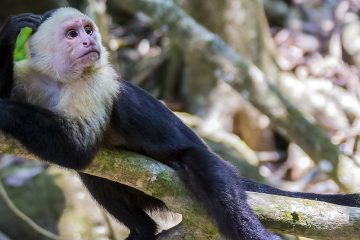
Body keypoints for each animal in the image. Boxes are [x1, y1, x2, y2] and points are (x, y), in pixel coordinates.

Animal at [0, 7, 358, 240]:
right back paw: (143, 232)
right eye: (72, 34)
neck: (62, 80)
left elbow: (78, 150)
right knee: (95, 177)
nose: (89, 42)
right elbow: (79, 156)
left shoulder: (95, 82)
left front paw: (5, 110)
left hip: (209, 164)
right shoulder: (32, 76)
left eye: (88, 30)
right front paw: (9, 33)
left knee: (207, 172)